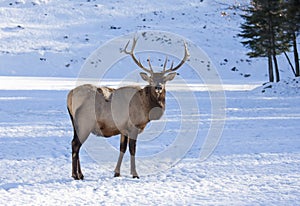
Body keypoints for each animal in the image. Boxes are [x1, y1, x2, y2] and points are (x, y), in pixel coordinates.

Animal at [68, 37, 190, 179]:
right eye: (151, 80)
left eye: (164, 80)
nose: (158, 87)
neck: (146, 108)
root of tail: (70, 95)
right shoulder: (133, 125)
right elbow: (132, 149)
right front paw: (135, 174)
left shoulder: (123, 129)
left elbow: (122, 148)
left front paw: (117, 172)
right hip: (84, 122)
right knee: (75, 144)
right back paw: (75, 175)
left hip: (75, 123)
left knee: (76, 144)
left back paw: (81, 174)